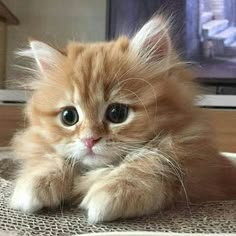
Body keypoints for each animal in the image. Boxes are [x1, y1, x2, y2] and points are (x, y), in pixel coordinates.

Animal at [10, 16, 236, 223]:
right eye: (69, 117)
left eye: (117, 113)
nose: (89, 140)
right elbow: (50, 158)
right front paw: (36, 182)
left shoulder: (196, 171)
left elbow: (149, 162)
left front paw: (115, 191)